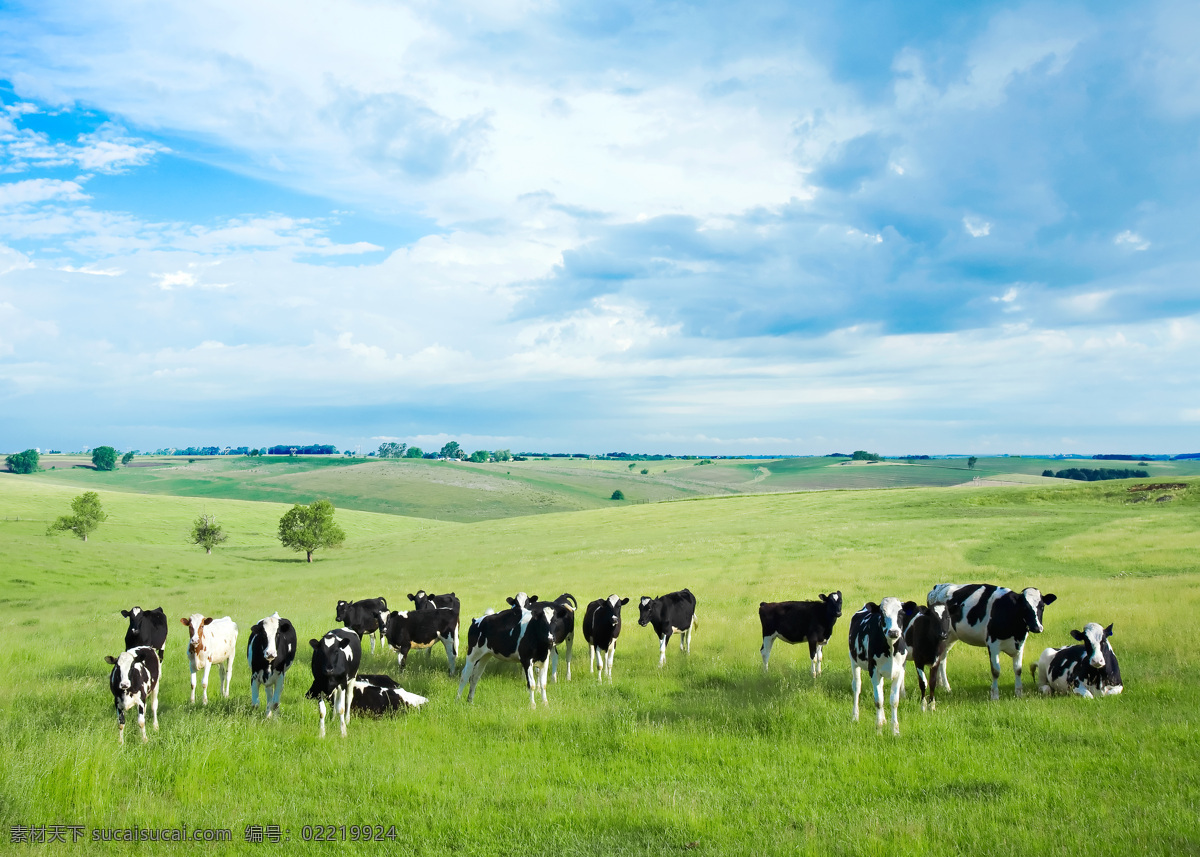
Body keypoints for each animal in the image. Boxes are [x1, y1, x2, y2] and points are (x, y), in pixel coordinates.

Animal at [844, 595, 907, 734]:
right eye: (882, 614)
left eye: (901, 613)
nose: (893, 632)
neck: (891, 649)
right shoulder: (873, 670)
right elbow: (878, 701)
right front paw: (878, 730)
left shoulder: (900, 671)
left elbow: (894, 701)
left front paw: (895, 731)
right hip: (853, 661)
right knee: (857, 687)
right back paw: (855, 717)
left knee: (881, 689)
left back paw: (883, 719)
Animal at [926, 580, 1060, 696]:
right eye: (1024, 607)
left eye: (1042, 606)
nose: (1037, 627)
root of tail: (938, 587)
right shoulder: (993, 644)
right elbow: (996, 671)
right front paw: (994, 695)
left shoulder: (1020, 644)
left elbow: (1018, 669)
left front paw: (1019, 693)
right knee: (941, 659)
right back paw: (945, 686)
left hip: (950, 637)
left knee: (942, 657)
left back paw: (941, 685)